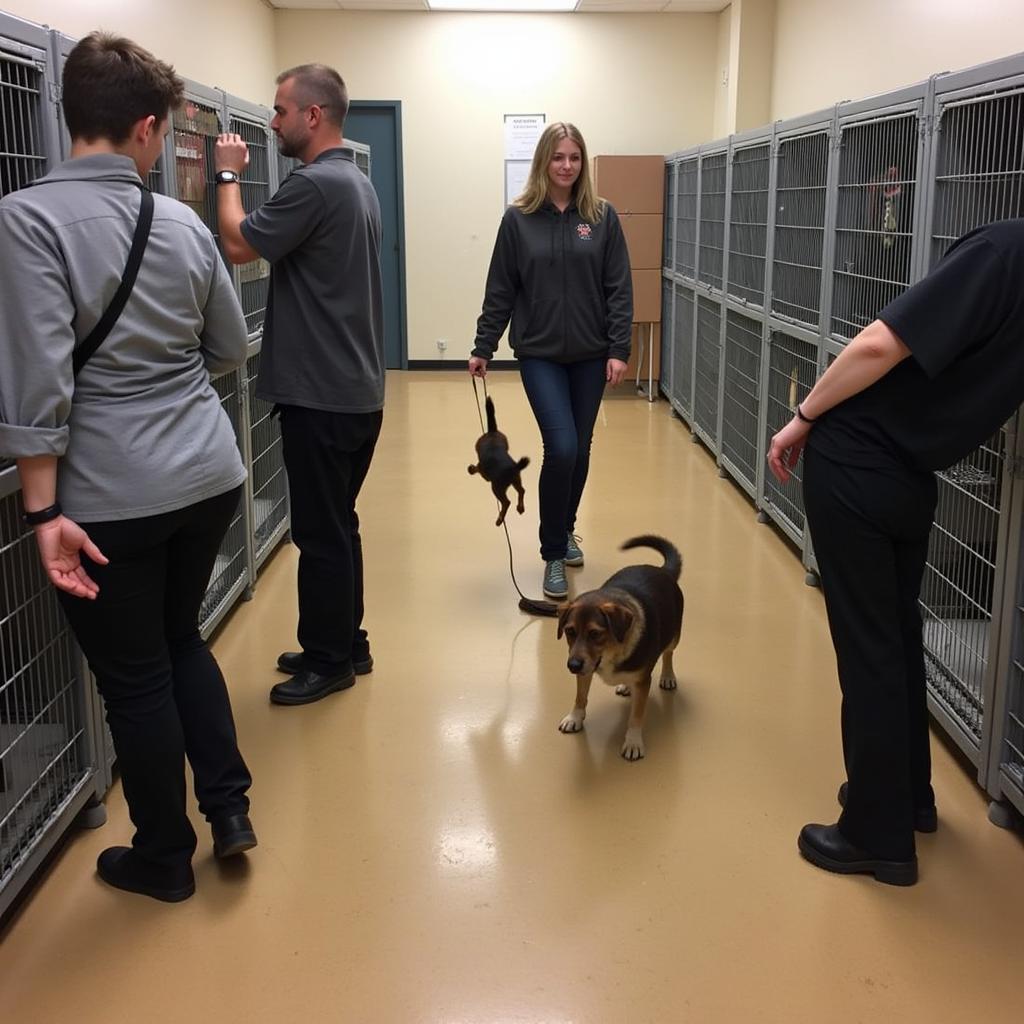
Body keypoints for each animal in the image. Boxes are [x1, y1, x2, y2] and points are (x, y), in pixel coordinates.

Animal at [464, 395, 528, 528]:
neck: (492, 433)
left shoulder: (482, 469)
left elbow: (477, 469)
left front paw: (471, 469)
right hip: (516, 479)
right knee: (521, 490)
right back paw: (520, 507)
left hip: (497, 487)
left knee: (506, 502)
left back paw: (500, 519)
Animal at [557, 536, 684, 761]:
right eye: (570, 631)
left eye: (595, 634)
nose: (572, 665)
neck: (612, 652)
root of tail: (663, 571)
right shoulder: (585, 670)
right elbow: (580, 697)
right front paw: (575, 718)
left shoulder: (642, 682)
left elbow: (636, 716)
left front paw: (633, 742)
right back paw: (625, 685)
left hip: (674, 636)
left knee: (668, 654)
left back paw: (667, 676)